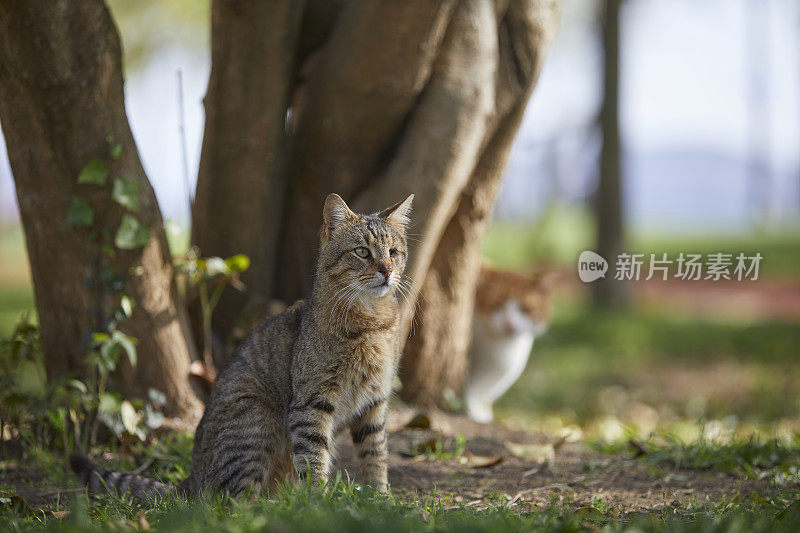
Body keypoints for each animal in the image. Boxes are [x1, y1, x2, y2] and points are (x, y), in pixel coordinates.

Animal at [70, 194, 412, 498]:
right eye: (363, 252)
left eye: (393, 252)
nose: (387, 270)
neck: (373, 321)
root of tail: (191, 478)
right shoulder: (312, 404)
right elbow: (314, 461)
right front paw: (320, 504)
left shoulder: (374, 402)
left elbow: (376, 456)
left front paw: (381, 500)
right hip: (254, 415)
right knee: (233, 501)